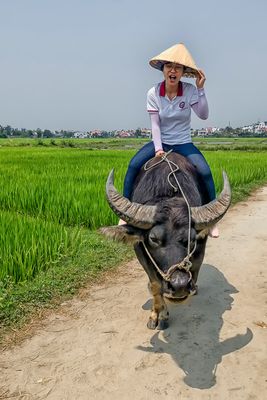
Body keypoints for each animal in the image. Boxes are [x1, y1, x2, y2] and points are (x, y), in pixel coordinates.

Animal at [101, 152, 231, 330]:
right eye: (153, 239)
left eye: (191, 239)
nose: (179, 285)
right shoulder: (140, 250)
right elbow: (155, 284)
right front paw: (158, 315)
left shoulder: (200, 245)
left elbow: (196, 266)